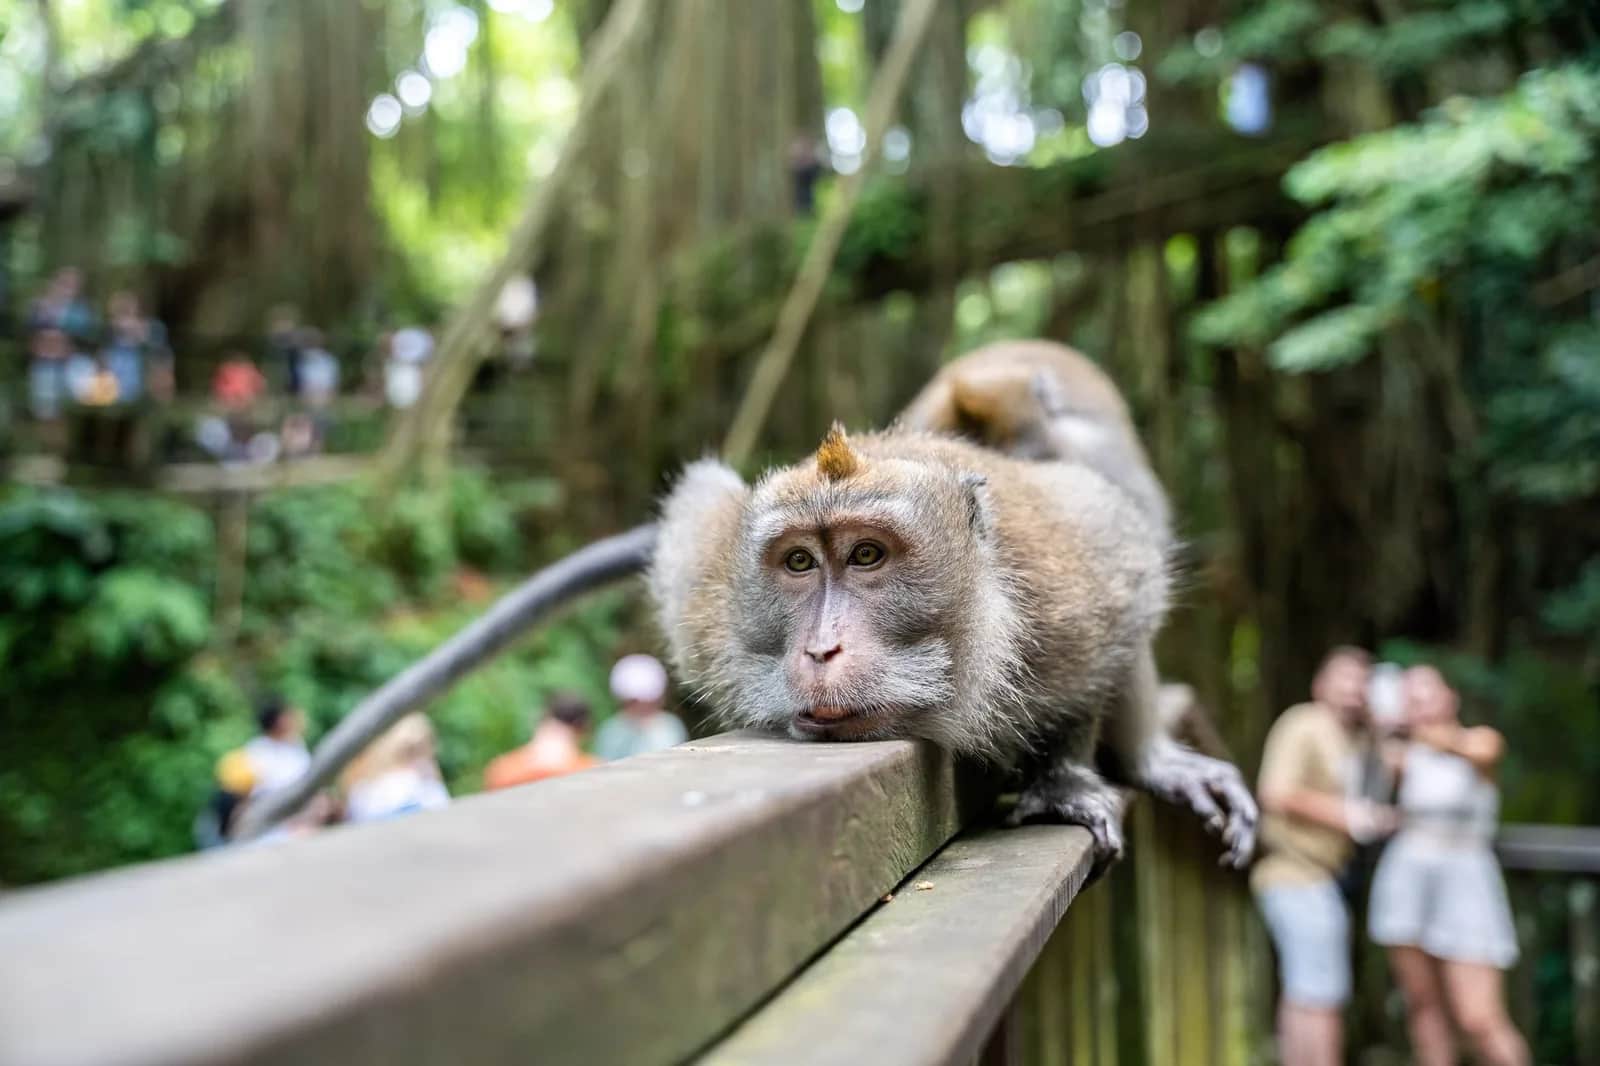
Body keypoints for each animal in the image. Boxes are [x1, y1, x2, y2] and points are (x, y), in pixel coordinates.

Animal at [649, 339, 1256, 871]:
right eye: (800, 562)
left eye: (866, 555)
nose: (822, 649)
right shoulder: (705, 605)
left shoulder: (1074, 578)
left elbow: (1121, 607)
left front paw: (1063, 776)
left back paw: (1149, 760)